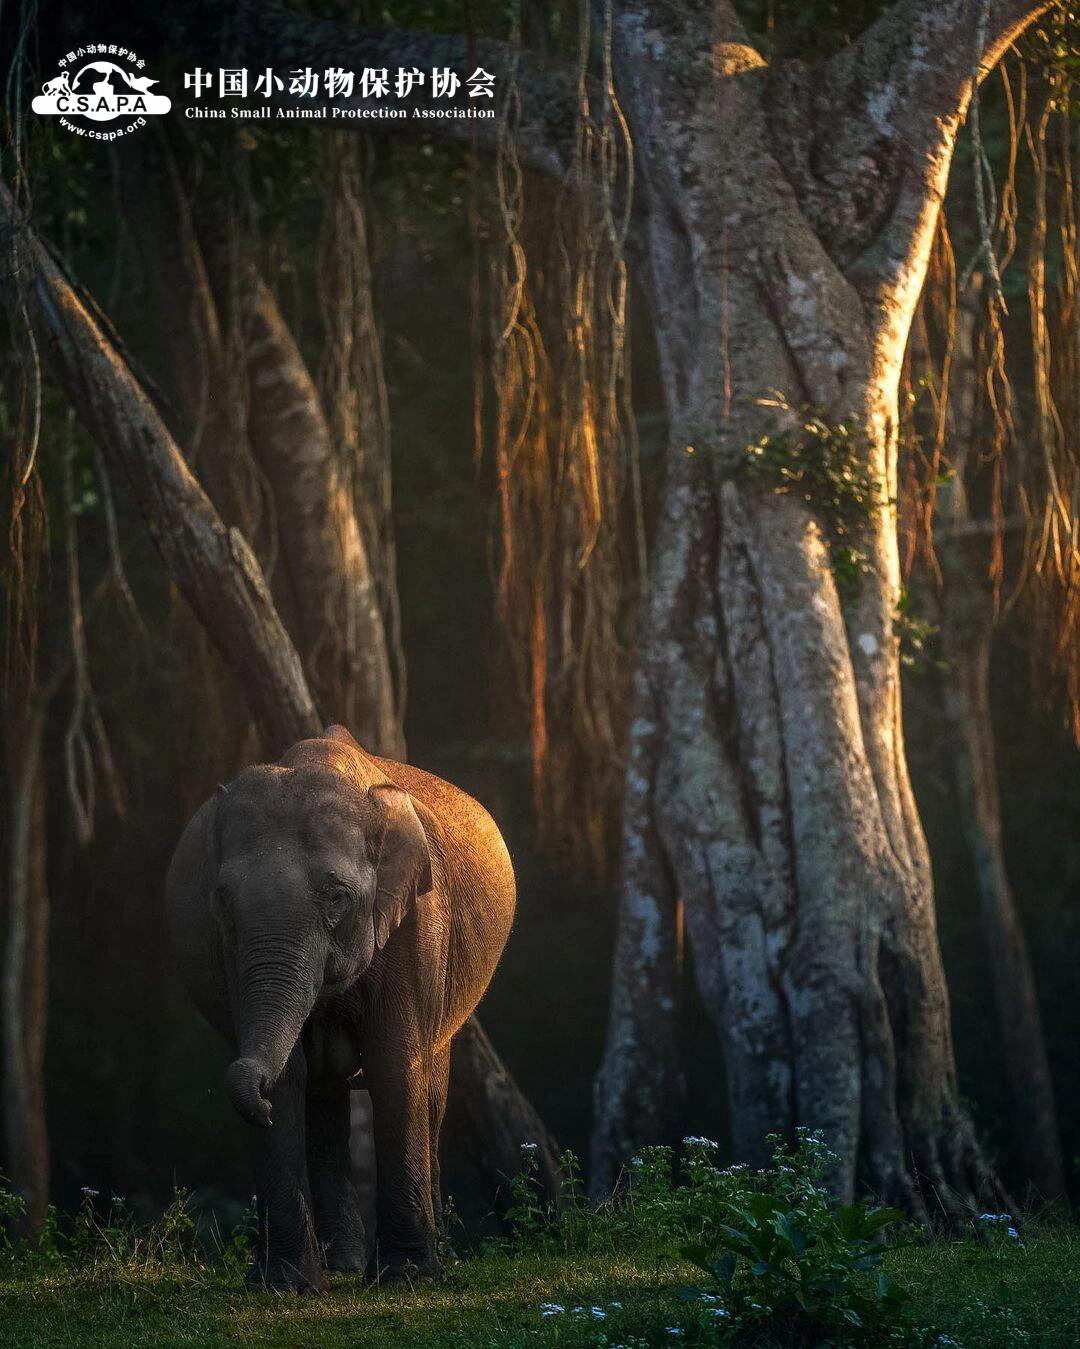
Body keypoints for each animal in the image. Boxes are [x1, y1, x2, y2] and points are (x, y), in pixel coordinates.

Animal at [166, 728, 515, 1295]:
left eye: (337, 897)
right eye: (223, 900)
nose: (254, 1105)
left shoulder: (415, 923)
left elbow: (396, 1066)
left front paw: (406, 1278)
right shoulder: (229, 950)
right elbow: (291, 1077)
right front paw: (283, 1285)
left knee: (429, 1092)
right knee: (323, 1096)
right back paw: (340, 1266)